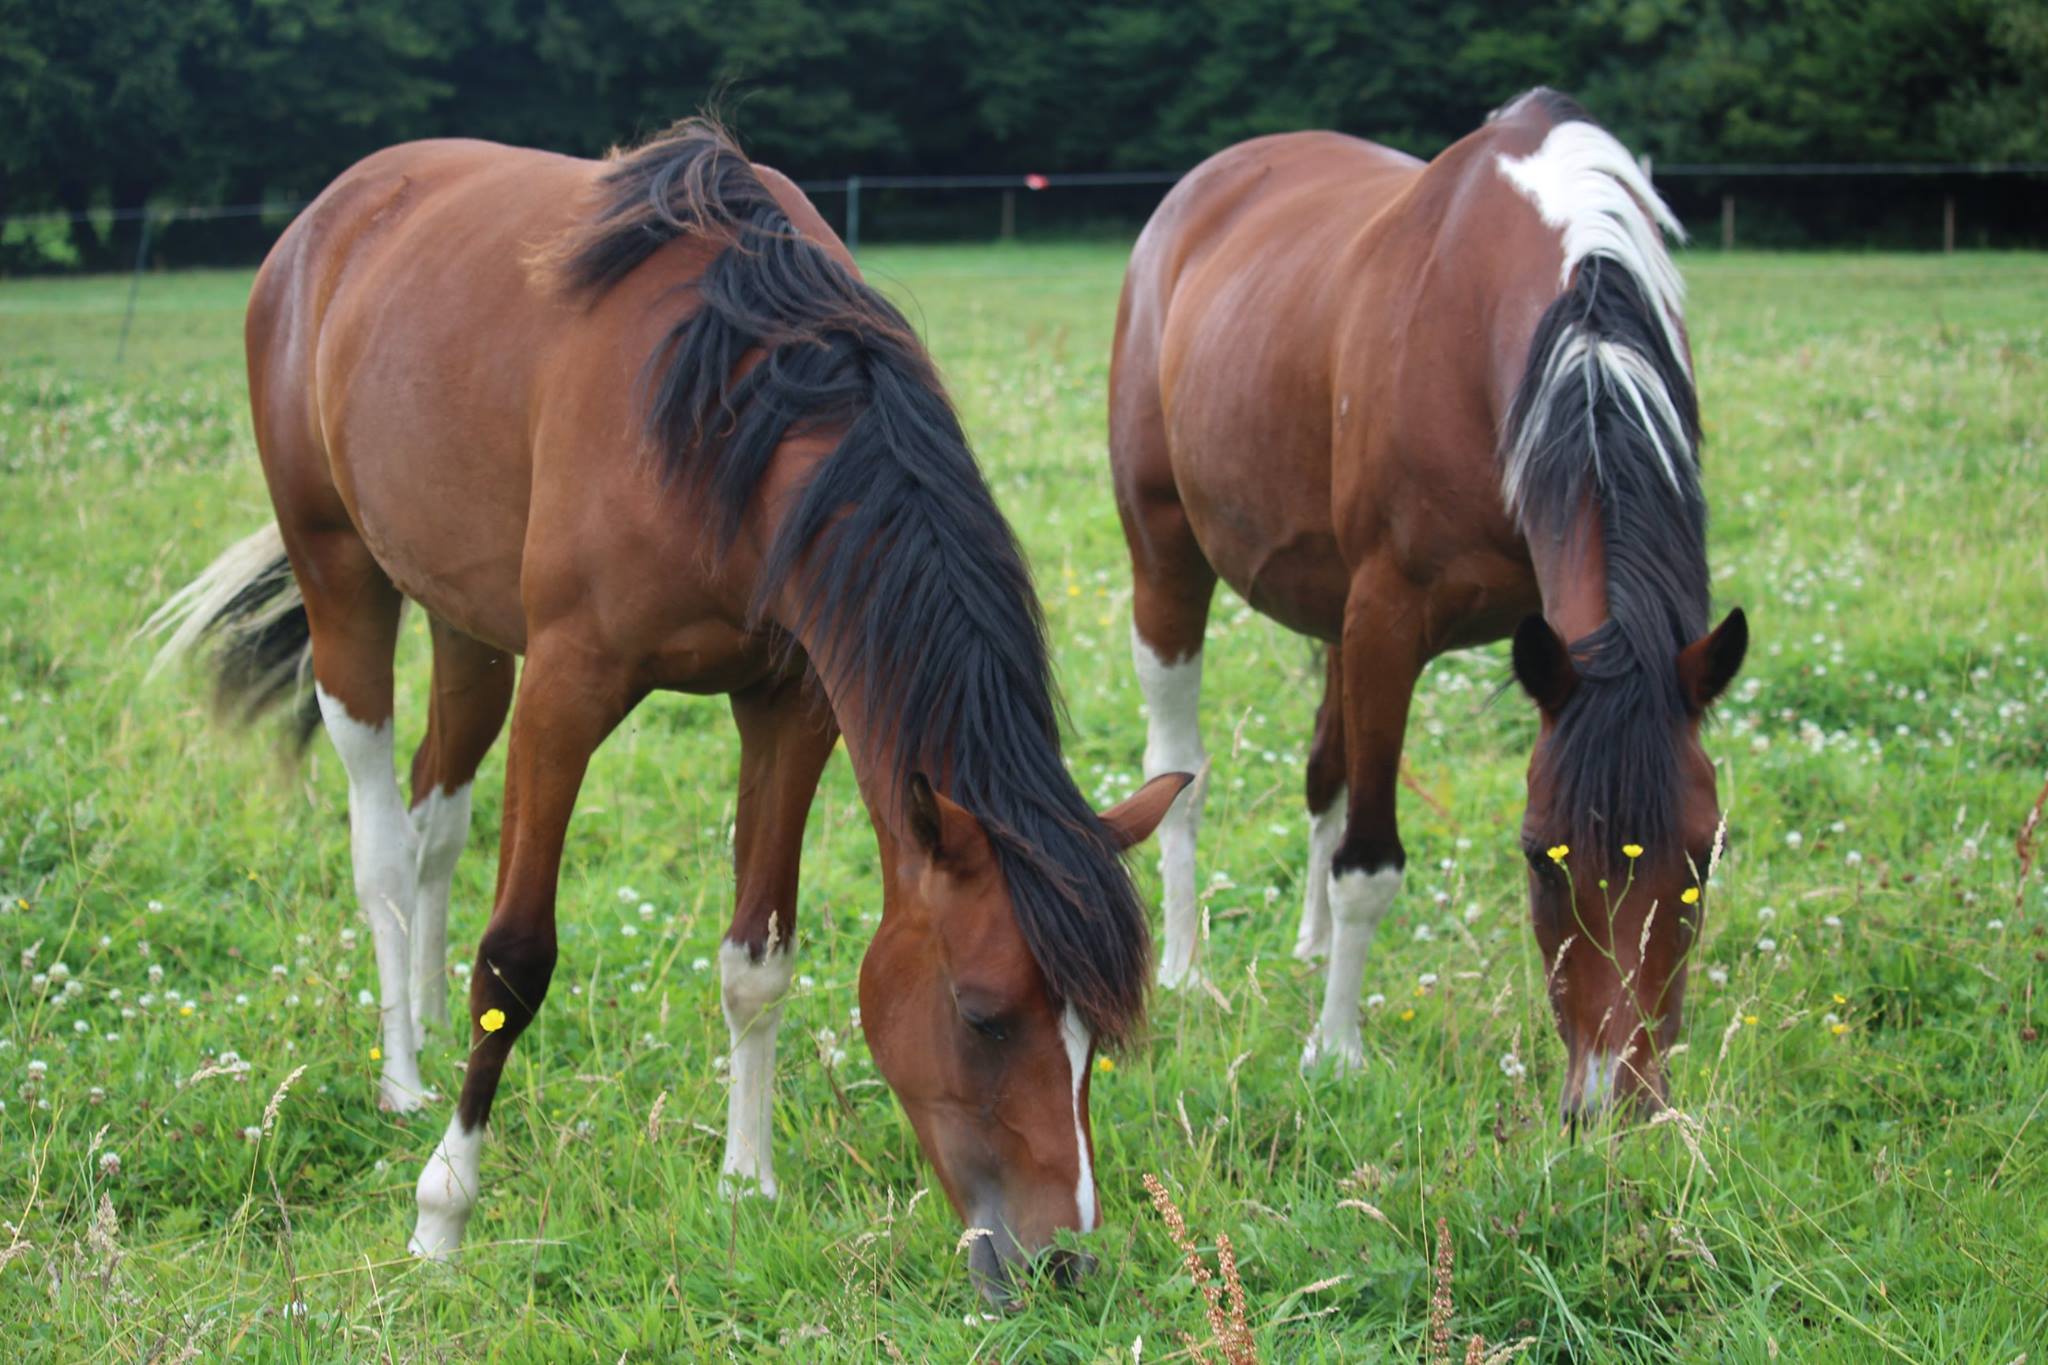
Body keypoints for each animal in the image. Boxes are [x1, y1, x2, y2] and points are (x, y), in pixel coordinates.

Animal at [147, 119, 1189, 1300]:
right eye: (981, 1014)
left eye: (1097, 1034)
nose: (1063, 1259)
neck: (729, 416)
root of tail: (330, 215)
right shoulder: (567, 687)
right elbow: (515, 960)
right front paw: (442, 1210)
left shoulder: (789, 704)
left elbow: (757, 959)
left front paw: (746, 1182)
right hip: (343, 576)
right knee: (380, 850)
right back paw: (404, 1078)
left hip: (467, 621)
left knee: (433, 815)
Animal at [1108, 88, 1747, 1121]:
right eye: (1539, 854)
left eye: (1702, 858)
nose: (1613, 1101)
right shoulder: (1387, 618)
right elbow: (1369, 861)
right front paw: (1334, 1051)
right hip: (1166, 559)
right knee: (1181, 773)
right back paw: (1186, 968)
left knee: (1325, 768)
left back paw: (1311, 945)